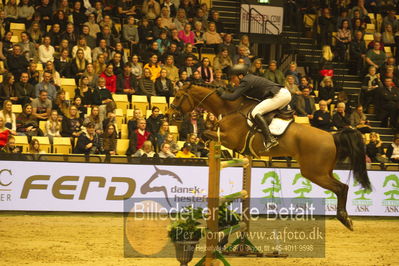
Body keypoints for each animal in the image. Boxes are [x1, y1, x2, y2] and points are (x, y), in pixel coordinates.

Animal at [168, 83, 372, 231]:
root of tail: (332, 136)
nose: (171, 115)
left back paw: (344, 219)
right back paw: (345, 218)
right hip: (323, 171)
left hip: (314, 173)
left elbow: (208, 133)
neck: (230, 109)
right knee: (341, 187)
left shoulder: (230, 139)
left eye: (178, 96)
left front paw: (205, 143)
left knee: (341, 188)